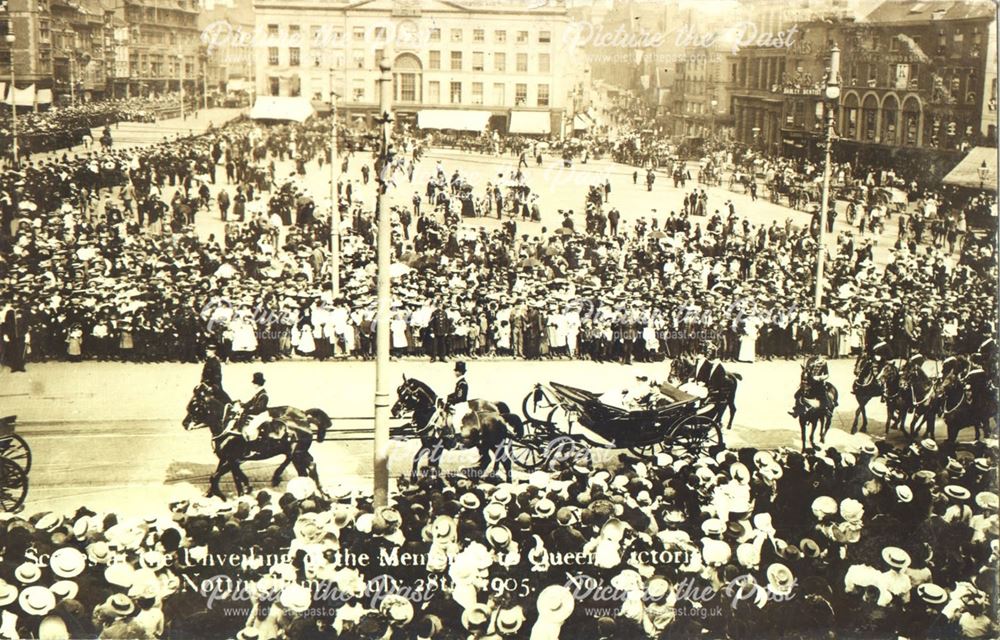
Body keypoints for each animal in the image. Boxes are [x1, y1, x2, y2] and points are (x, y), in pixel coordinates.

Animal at [183, 380, 332, 500]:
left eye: (195, 406)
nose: (184, 424)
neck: (227, 425)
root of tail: (304, 417)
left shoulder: (232, 458)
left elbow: (217, 476)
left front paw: (228, 494)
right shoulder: (227, 458)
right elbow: (229, 476)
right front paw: (214, 493)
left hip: (297, 453)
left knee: (301, 467)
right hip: (300, 454)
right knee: (310, 467)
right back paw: (320, 494)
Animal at [388, 376, 520, 480]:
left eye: (407, 394)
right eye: (399, 391)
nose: (394, 411)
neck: (433, 415)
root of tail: (499, 416)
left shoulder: (438, 447)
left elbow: (433, 464)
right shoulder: (427, 444)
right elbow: (417, 458)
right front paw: (414, 478)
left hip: (495, 444)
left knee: (505, 462)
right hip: (483, 444)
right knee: (487, 460)